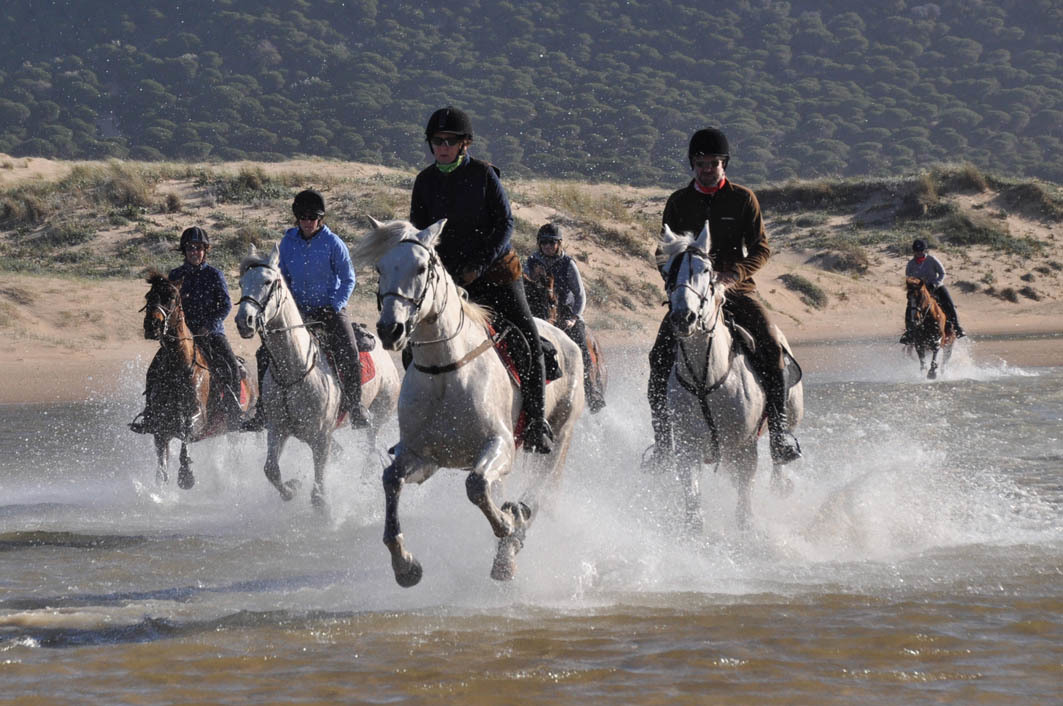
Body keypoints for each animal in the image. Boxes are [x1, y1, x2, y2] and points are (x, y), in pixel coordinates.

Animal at [237, 244, 401, 508]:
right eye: (242, 283)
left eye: (268, 281)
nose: (244, 320)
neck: (294, 371)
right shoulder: (277, 429)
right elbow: (271, 470)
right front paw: (292, 487)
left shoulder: (321, 438)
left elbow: (318, 495)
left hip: (379, 415)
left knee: (370, 451)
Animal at [357, 217, 591, 586]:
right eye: (380, 268)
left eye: (422, 267)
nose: (389, 329)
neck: (445, 370)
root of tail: (567, 339)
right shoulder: (423, 457)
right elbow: (391, 480)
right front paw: (405, 565)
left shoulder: (500, 445)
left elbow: (476, 485)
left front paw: (507, 523)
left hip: (560, 435)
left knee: (536, 492)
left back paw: (511, 543)